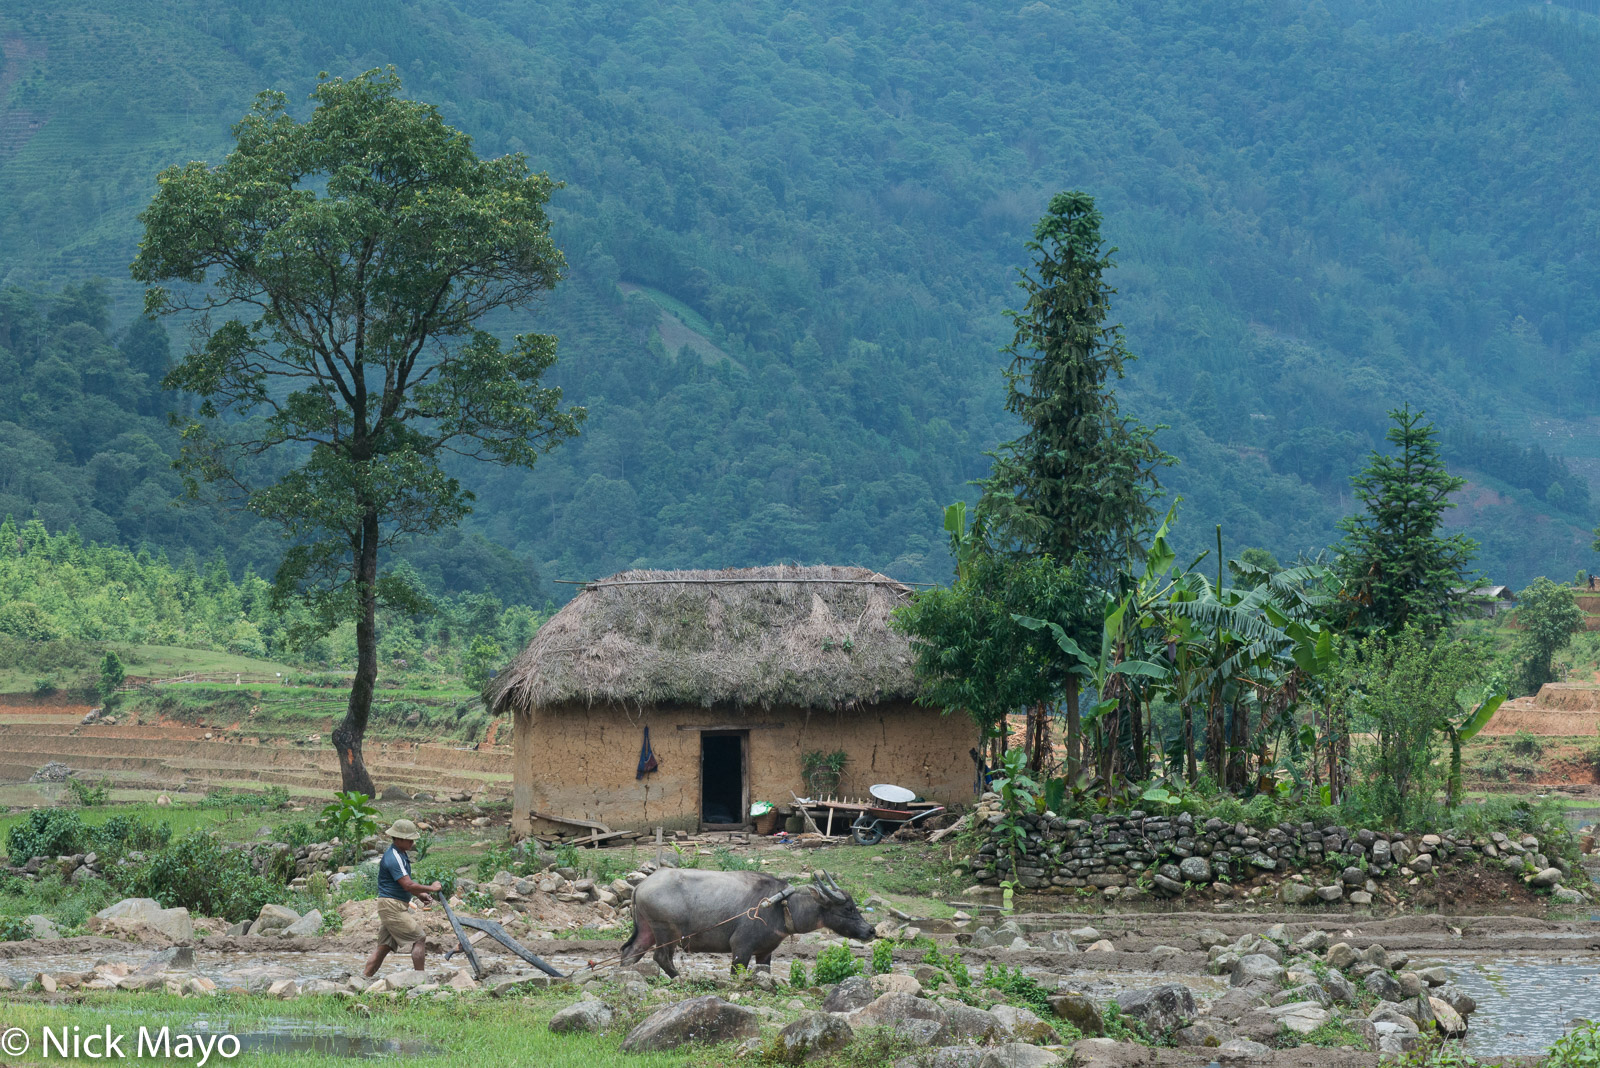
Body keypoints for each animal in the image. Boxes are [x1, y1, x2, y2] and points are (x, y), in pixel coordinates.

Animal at [624, 869, 876, 978]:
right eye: (848, 908)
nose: (871, 930)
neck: (781, 906)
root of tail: (642, 884)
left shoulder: (765, 953)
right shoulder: (740, 948)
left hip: (647, 931)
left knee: (630, 952)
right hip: (667, 933)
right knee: (661, 957)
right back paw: (679, 978)